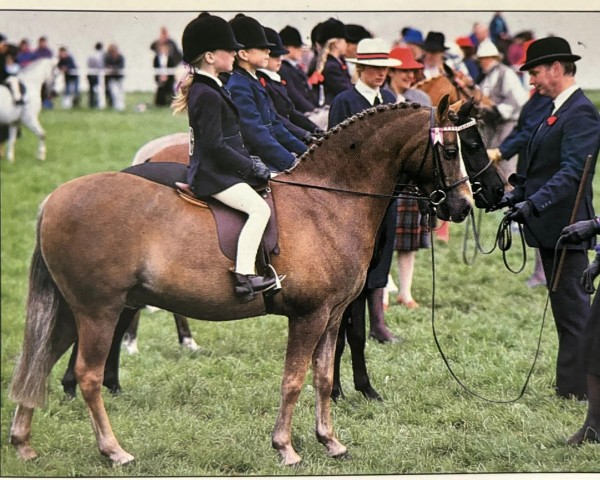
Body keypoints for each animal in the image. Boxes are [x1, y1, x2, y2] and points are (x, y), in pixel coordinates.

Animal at [7, 95, 472, 466]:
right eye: (451, 150)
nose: (464, 206)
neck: (327, 201)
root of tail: (55, 198)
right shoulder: (308, 315)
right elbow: (293, 380)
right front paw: (285, 448)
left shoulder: (332, 314)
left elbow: (322, 378)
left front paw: (331, 442)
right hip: (99, 310)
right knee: (87, 375)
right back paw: (113, 450)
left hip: (72, 310)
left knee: (39, 361)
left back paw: (23, 443)